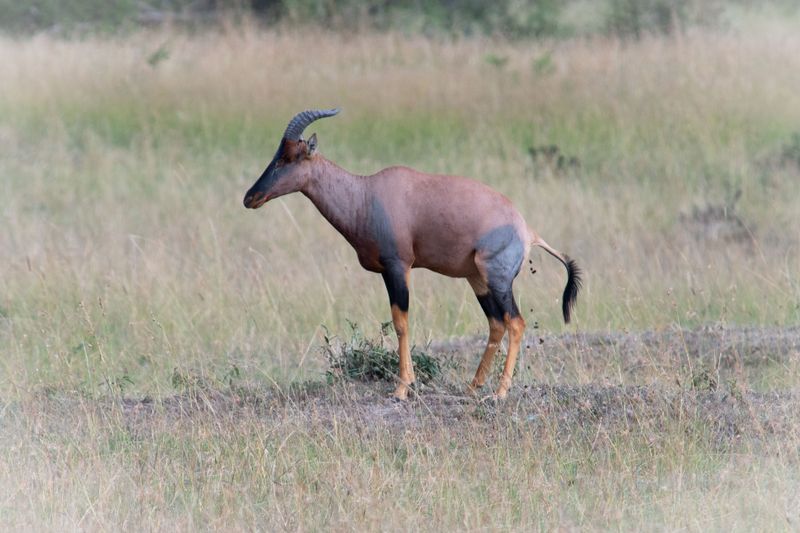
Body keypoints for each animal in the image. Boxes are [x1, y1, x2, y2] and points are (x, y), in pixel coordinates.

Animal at [244, 108, 580, 400]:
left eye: (290, 157)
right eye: (276, 154)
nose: (250, 198)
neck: (366, 194)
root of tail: (527, 230)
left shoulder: (398, 266)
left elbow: (401, 322)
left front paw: (402, 388)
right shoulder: (387, 271)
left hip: (497, 278)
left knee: (515, 323)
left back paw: (499, 392)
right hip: (476, 279)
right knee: (496, 324)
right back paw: (473, 387)